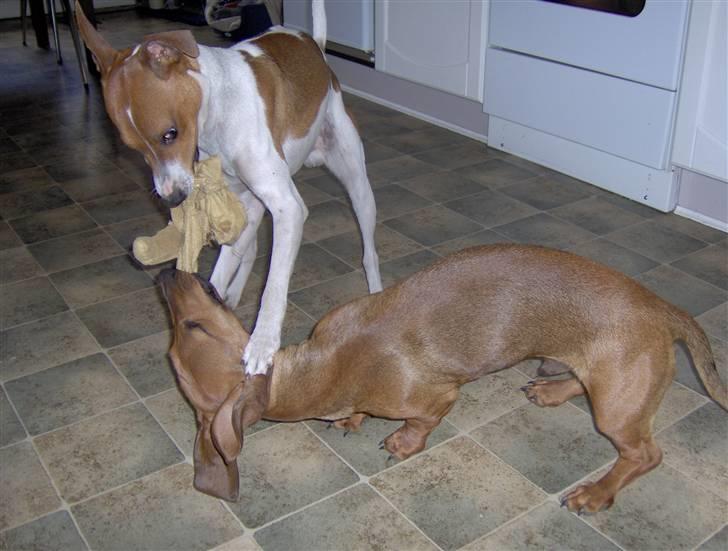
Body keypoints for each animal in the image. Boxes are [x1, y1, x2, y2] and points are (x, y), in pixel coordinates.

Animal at [77, 1, 384, 376]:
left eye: (170, 134)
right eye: (133, 148)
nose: (174, 198)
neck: (219, 109)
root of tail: (316, 47)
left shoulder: (288, 209)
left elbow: (273, 285)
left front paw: (262, 343)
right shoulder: (243, 202)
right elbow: (226, 264)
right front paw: (207, 307)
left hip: (357, 186)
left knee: (368, 251)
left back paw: (374, 293)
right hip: (252, 201)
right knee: (248, 248)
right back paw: (233, 294)